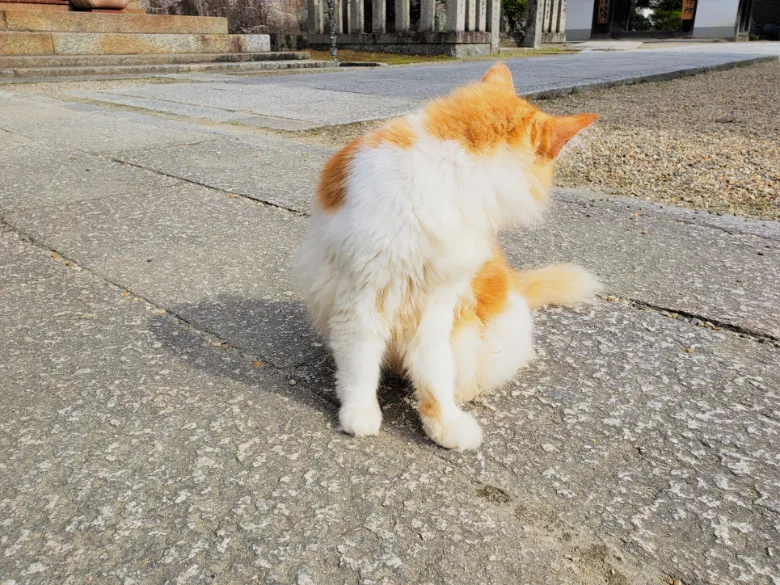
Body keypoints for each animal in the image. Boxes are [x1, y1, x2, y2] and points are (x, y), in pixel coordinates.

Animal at [296, 61, 600, 450]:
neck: (447, 169)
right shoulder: (362, 296)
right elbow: (359, 365)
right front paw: (359, 413)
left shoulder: (436, 306)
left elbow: (435, 373)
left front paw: (443, 422)